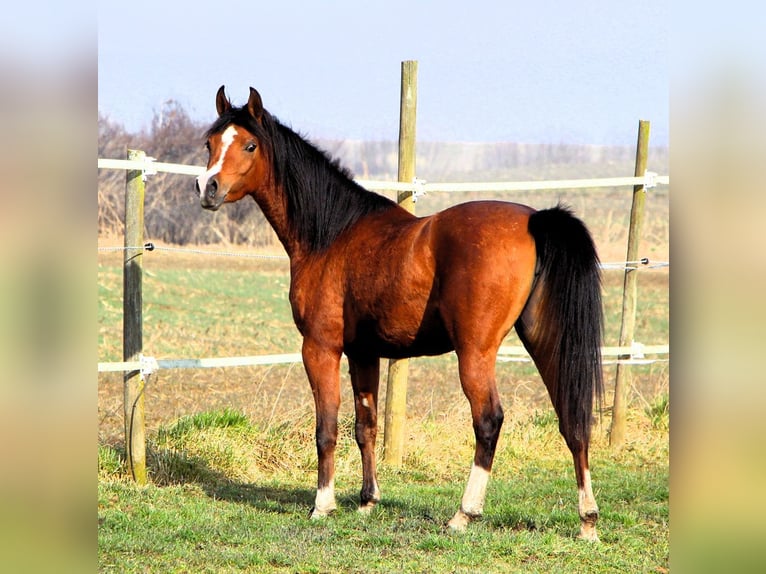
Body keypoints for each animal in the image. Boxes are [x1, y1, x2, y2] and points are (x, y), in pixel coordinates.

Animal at [196, 86, 608, 544]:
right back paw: (588, 520)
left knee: (488, 421)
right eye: (210, 143)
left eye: (249, 145)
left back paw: (464, 513)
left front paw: (323, 505)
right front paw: (367, 501)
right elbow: (365, 426)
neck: (332, 236)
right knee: (572, 418)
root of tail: (534, 219)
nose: (208, 188)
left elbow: (327, 428)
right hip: (545, 340)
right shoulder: (363, 354)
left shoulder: (320, 348)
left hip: (476, 353)